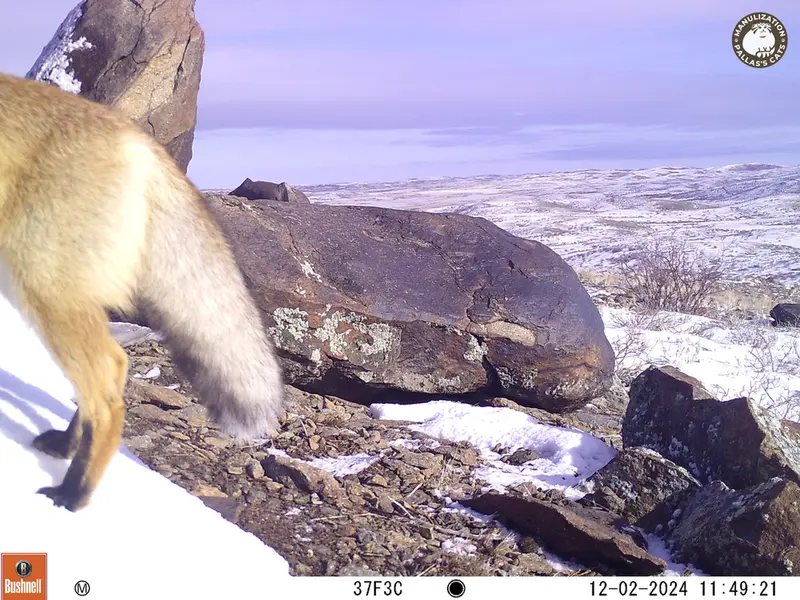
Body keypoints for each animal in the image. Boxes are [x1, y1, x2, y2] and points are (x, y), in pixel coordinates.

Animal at [0, 72, 284, 511]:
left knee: (107, 384)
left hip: (39, 282)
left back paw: (72, 495)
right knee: (112, 371)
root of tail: (132, 133)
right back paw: (67, 448)